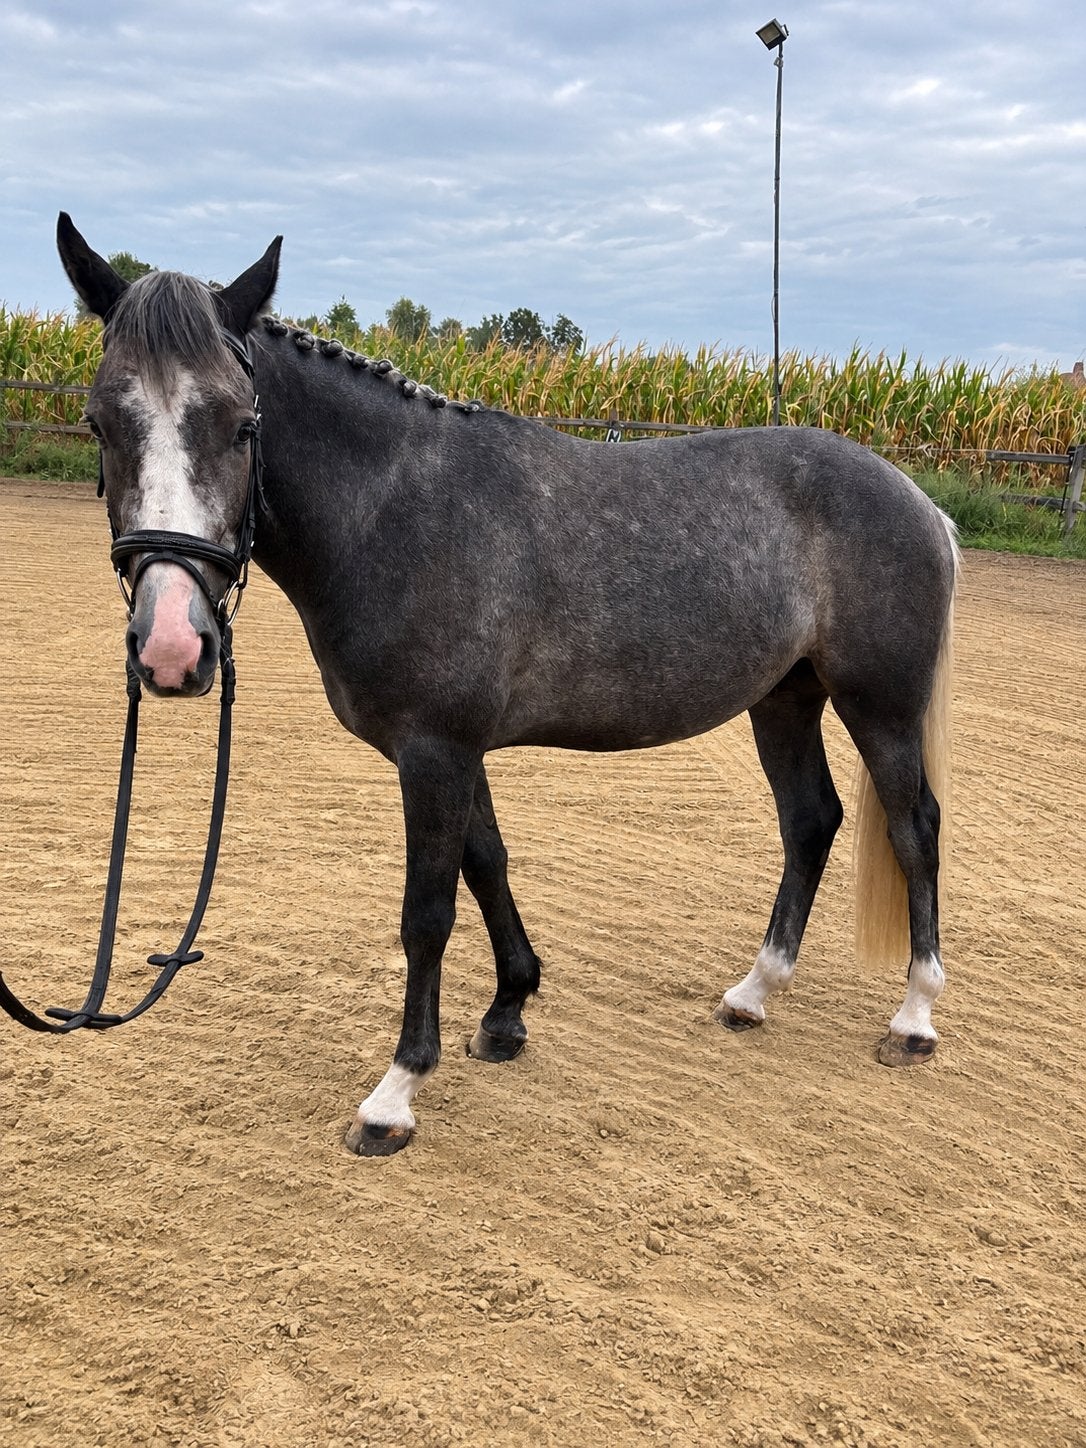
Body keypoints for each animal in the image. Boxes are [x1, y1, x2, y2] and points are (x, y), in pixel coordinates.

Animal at [56, 214, 958, 1157]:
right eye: (100, 423)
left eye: (240, 425)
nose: (170, 645)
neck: (394, 510)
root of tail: (918, 502)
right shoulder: (454, 750)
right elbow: (486, 864)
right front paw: (506, 1012)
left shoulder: (435, 750)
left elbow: (427, 911)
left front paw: (395, 1094)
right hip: (783, 700)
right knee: (810, 821)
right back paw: (753, 993)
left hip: (879, 708)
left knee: (915, 829)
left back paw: (913, 1018)